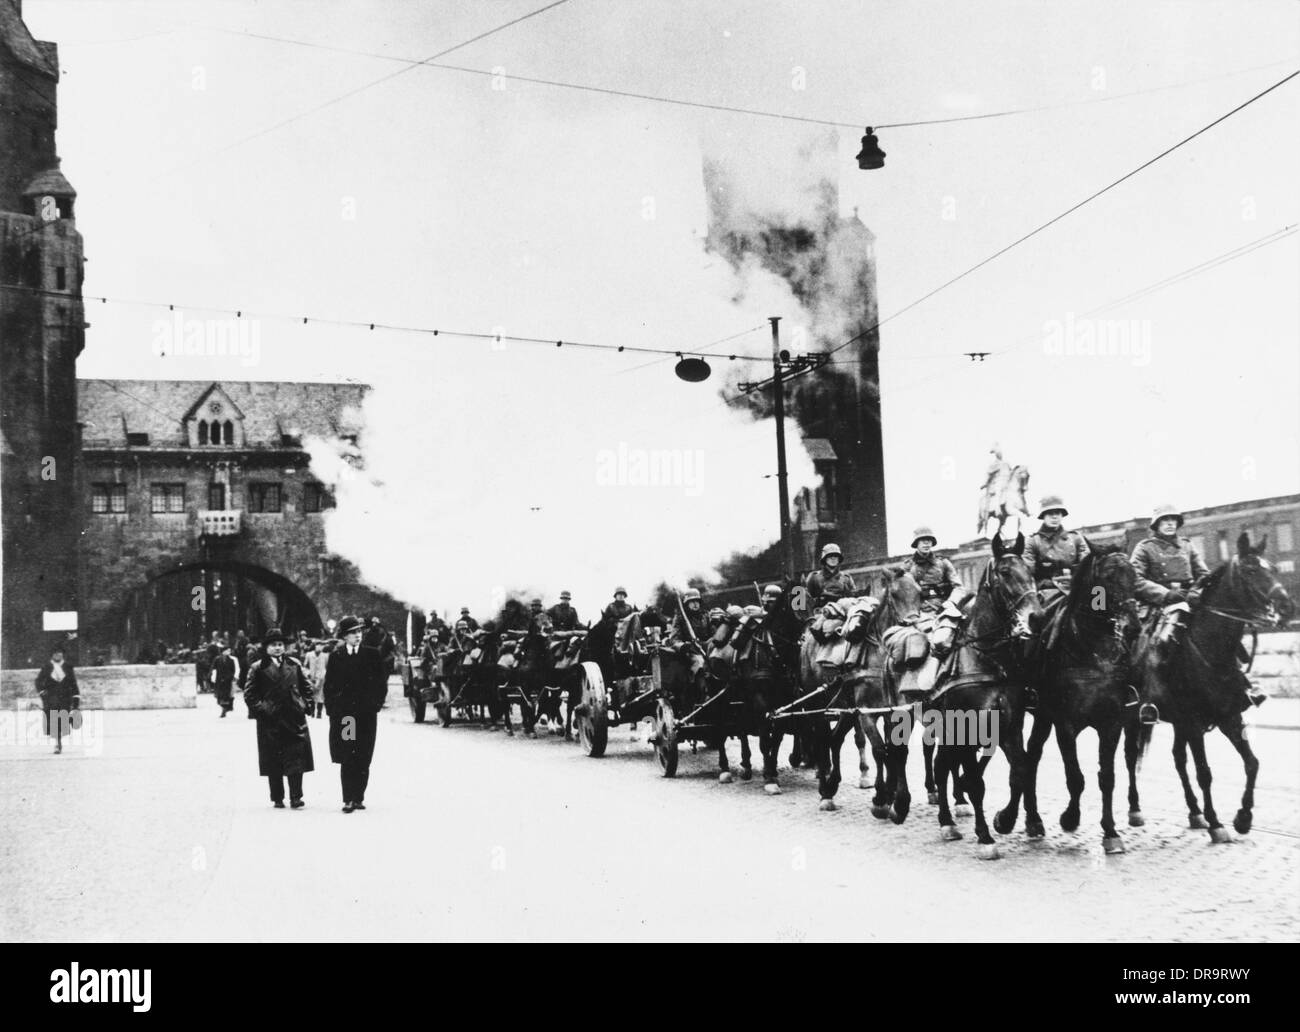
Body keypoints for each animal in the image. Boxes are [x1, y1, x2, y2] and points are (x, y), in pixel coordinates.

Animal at [930, 535, 1040, 857]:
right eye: (1004, 572)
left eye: (1031, 570)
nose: (1037, 617)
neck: (986, 657)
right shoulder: (966, 727)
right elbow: (977, 783)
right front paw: (985, 837)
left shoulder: (1010, 726)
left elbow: (1020, 770)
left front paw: (1005, 819)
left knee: (942, 765)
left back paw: (949, 818)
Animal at [993, 543, 1138, 847]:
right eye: (1107, 577)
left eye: (1133, 574)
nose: (1133, 627)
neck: (1092, 653)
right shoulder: (1065, 725)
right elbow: (1075, 777)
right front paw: (1070, 818)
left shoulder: (1112, 724)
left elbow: (1107, 777)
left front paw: (1110, 831)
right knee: (1025, 759)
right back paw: (1019, 818)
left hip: (1042, 717)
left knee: (1031, 756)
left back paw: (1032, 820)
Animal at [1128, 535, 1289, 842]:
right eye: (1251, 570)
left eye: (1273, 568)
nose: (1287, 606)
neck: (1210, 651)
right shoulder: (1192, 723)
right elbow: (1204, 772)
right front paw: (1217, 824)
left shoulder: (1229, 717)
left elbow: (1252, 763)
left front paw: (1243, 817)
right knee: (1131, 757)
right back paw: (1135, 810)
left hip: (1177, 723)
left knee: (1178, 759)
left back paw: (1194, 812)